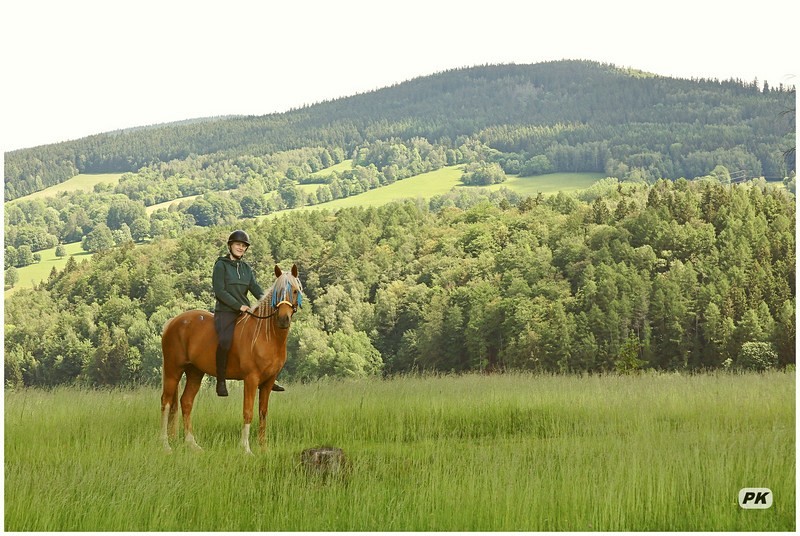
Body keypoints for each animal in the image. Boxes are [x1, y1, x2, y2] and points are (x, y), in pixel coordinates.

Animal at [159, 264, 304, 452]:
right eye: (277, 292)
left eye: (294, 290)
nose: (283, 320)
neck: (266, 336)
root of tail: (173, 322)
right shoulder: (251, 379)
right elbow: (248, 412)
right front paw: (246, 449)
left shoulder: (268, 381)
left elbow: (263, 412)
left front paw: (263, 448)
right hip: (173, 370)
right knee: (166, 402)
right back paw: (165, 445)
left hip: (194, 372)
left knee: (186, 402)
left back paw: (193, 445)